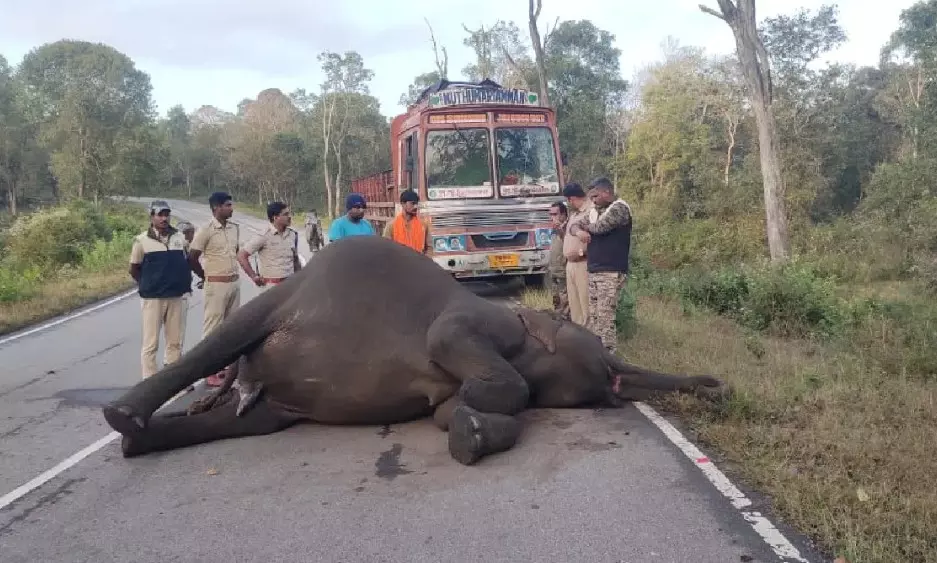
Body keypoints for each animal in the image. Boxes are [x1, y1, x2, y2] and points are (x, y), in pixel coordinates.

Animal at [102, 236, 724, 464]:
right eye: (595, 344)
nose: (715, 386)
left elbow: (458, 410)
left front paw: (467, 428)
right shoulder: (476, 319)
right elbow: (456, 346)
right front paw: (474, 414)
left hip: (271, 405)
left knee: (244, 421)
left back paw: (138, 442)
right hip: (284, 300)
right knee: (230, 334)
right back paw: (123, 416)